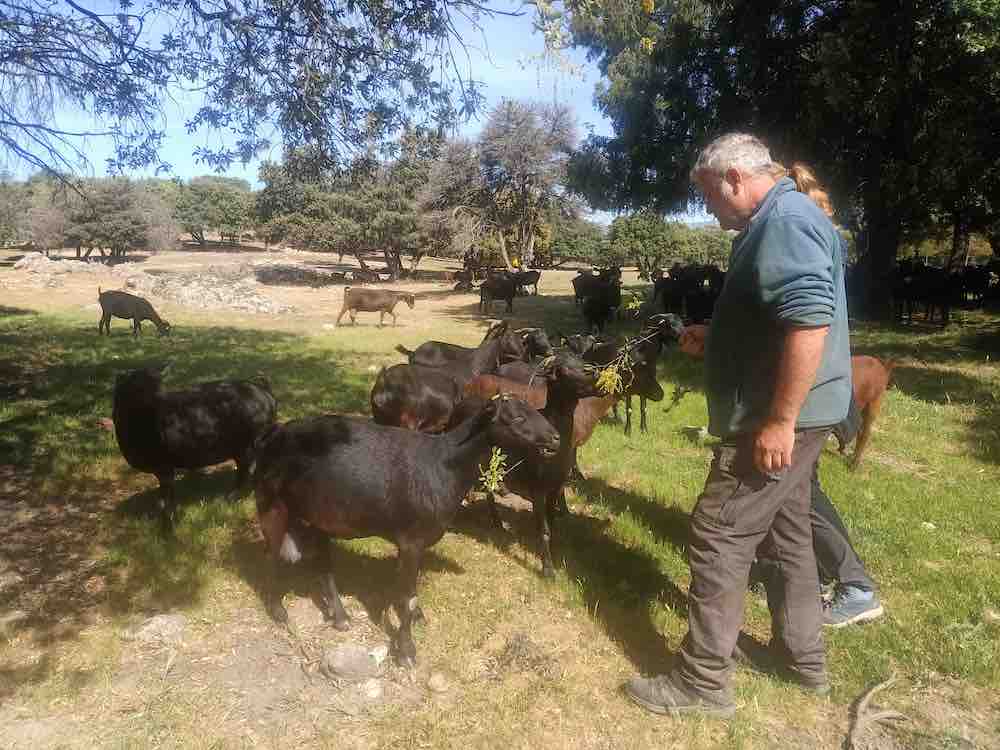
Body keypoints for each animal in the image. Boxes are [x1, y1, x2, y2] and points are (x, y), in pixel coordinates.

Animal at [113, 366, 276, 532]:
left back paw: (234, 495)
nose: (158, 401)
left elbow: (166, 496)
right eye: (136, 387)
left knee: (246, 469)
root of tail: (262, 389)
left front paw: (167, 521)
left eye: (157, 384)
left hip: (249, 444)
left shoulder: (164, 467)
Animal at [252, 396, 564, 668]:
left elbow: (410, 594)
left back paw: (340, 617)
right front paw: (406, 652)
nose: (556, 438)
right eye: (518, 418)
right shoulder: (411, 540)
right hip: (272, 503)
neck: (442, 465)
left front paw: (417, 619)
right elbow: (406, 597)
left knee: (323, 563)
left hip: (320, 515)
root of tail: (275, 434)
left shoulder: (417, 542)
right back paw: (279, 611)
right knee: (271, 554)